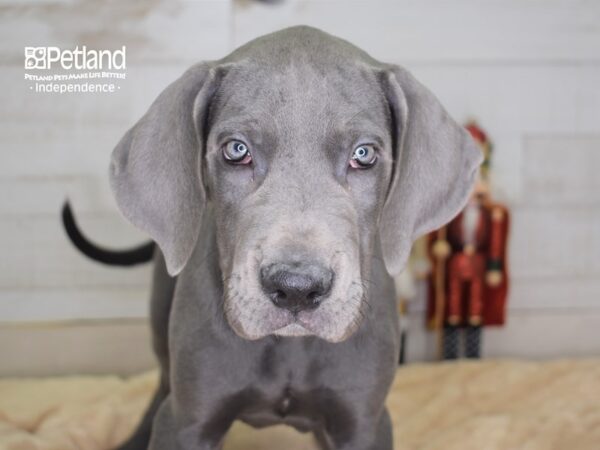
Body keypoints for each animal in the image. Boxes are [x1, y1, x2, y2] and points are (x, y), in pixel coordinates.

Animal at [95, 23, 482, 450]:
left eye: (363, 154)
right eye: (236, 149)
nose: (297, 287)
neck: (289, 348)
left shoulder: (363, 424)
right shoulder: (187, 423)